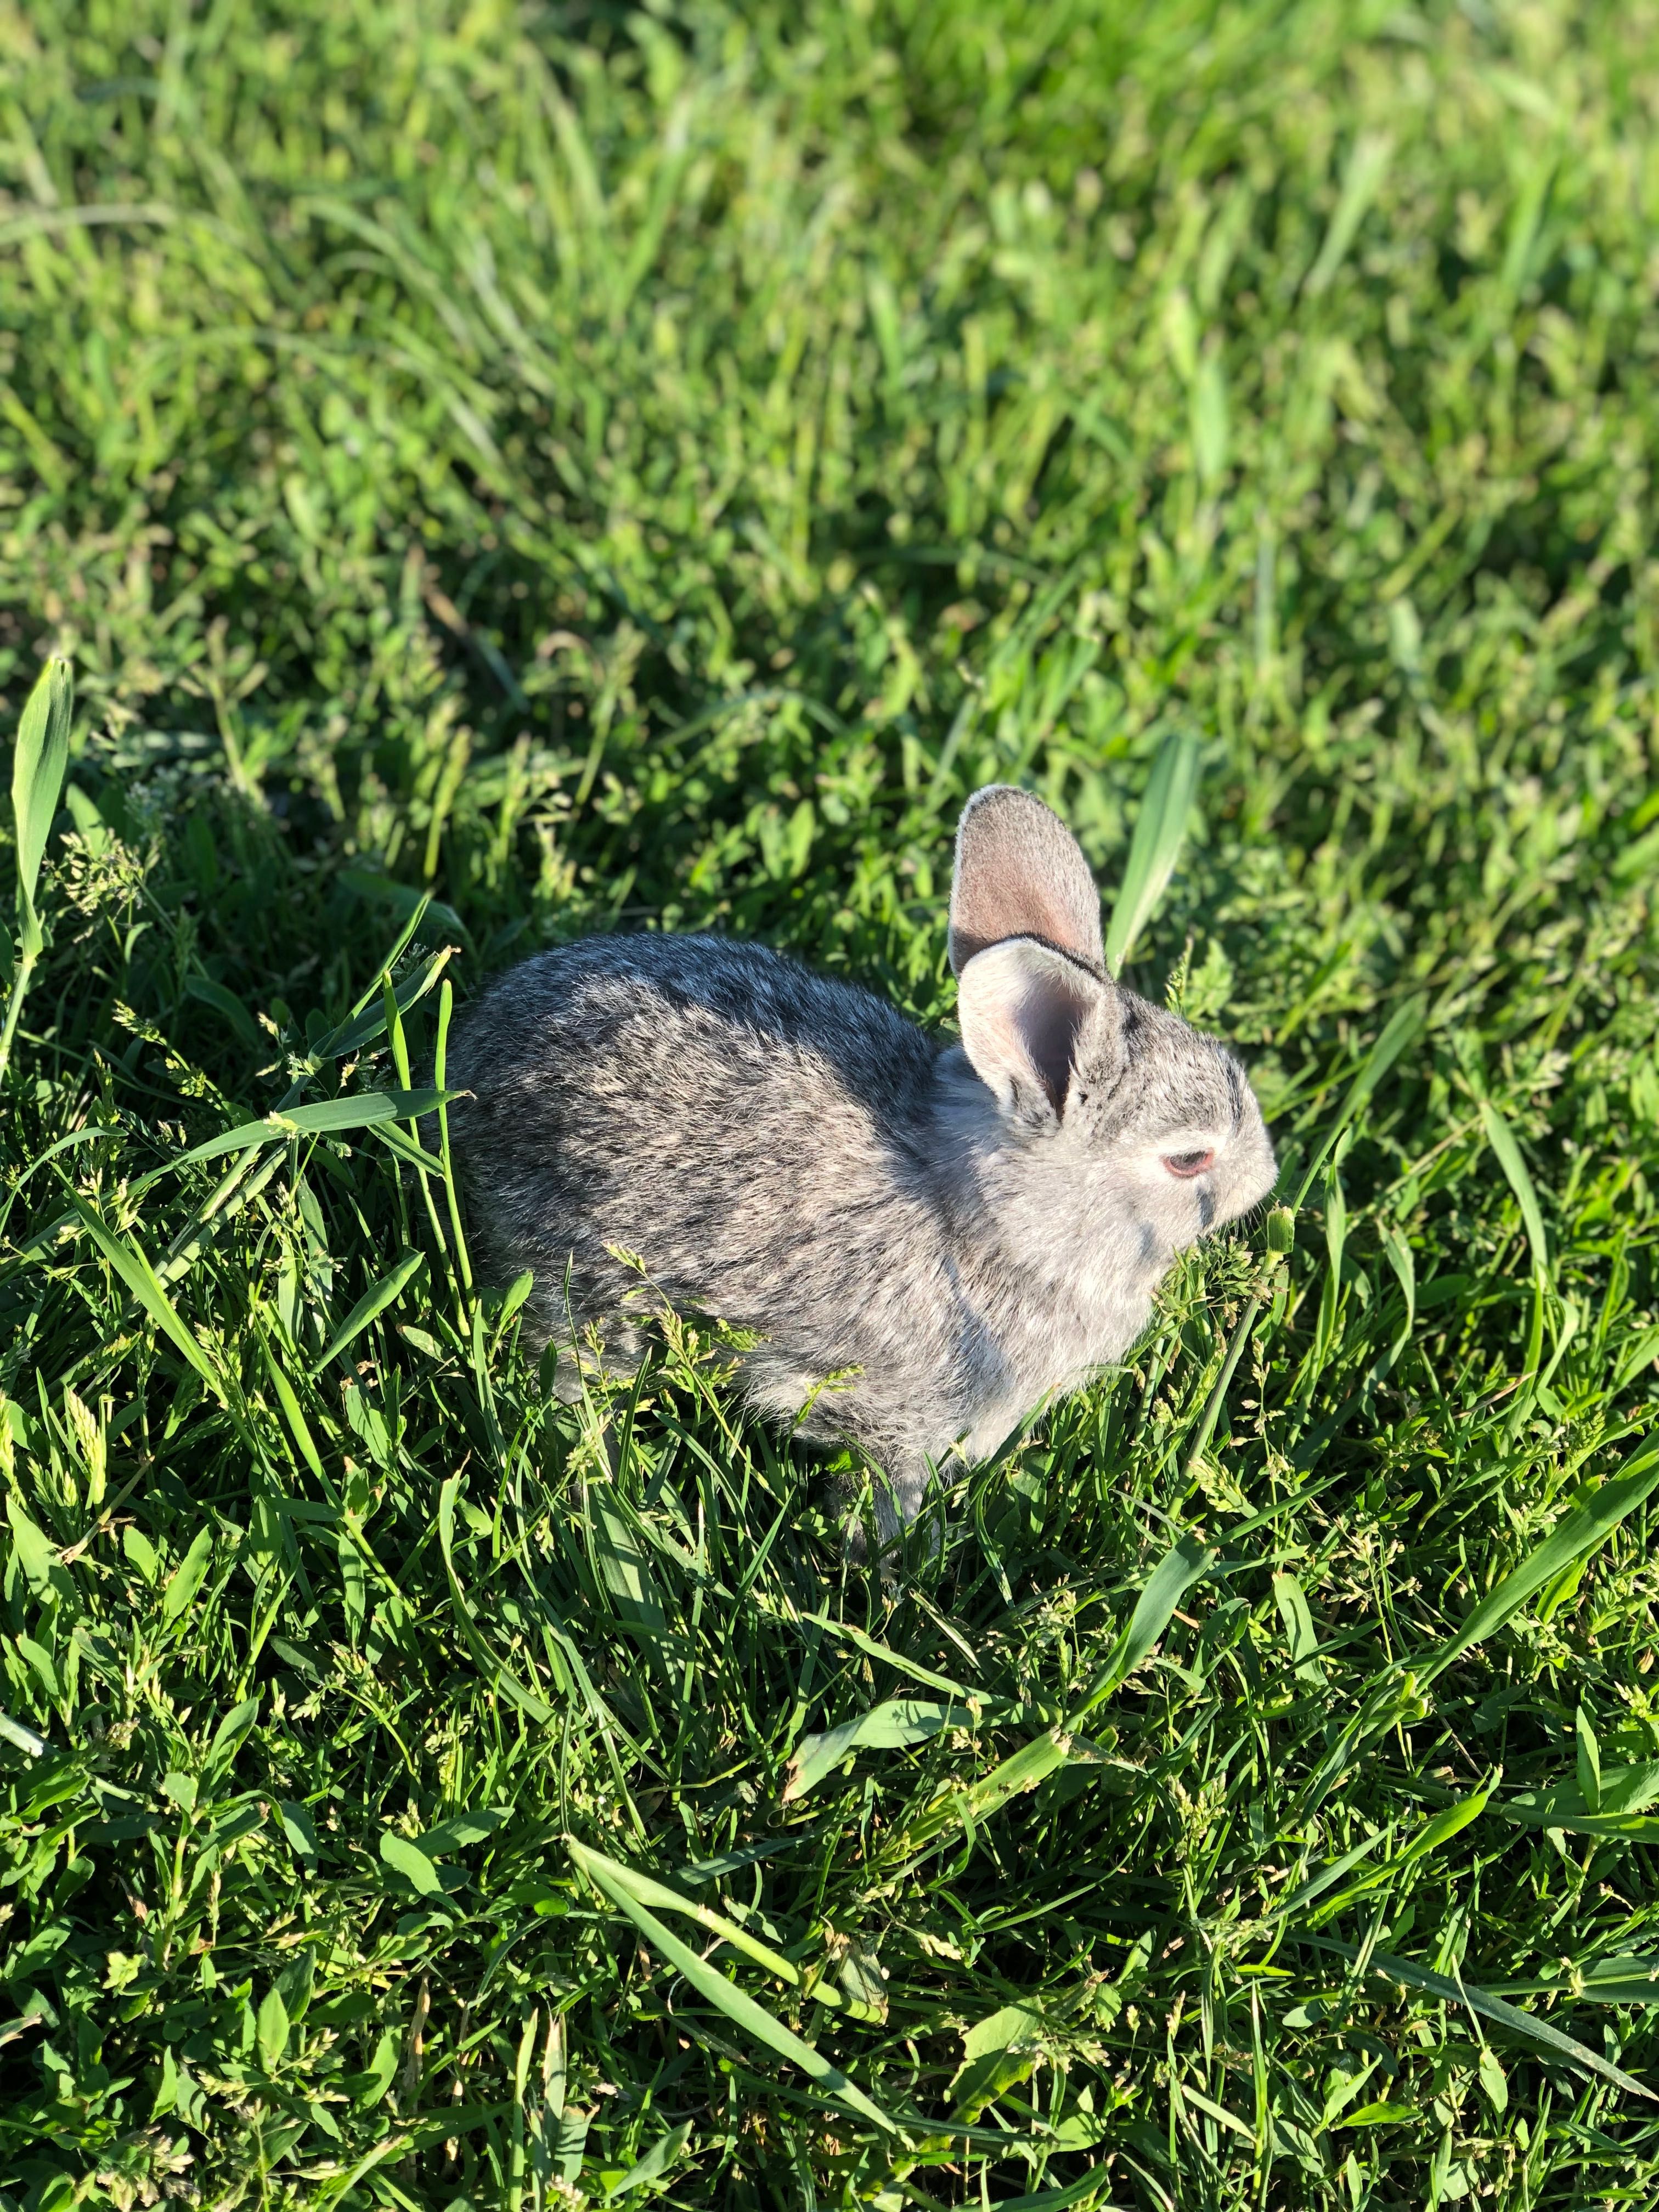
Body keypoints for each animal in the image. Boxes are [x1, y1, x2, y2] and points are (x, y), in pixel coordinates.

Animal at [438, 792, 1274, 1539]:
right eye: (1189, 1159)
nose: (1265, 1179)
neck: (1002, 1229)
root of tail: (479, 1056)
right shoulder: (902, 1418)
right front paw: (894, 1568)